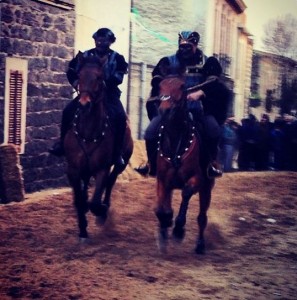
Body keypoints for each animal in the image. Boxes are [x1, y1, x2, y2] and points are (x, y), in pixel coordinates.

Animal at [65, 55, 134, 240]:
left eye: (99, 77)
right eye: (79, 75)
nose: (84, 104)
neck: (89, 133)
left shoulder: (102, 168)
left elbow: (95, 201)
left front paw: (101, 211)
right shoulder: (74, 169)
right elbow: (79, 199)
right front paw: (82, 229)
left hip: (120, 164)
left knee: (110, 182)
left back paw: (104, 209)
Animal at [154, 76, 214, 254]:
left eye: (182, 87)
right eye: (160, 86)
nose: (165, 110)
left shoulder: (197, 179)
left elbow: (186, 193)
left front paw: (178, 228)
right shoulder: (162, 180)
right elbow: (161, 209)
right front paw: (165, 223)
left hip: (207, 188)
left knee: (202, 217)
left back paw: (200, 245)